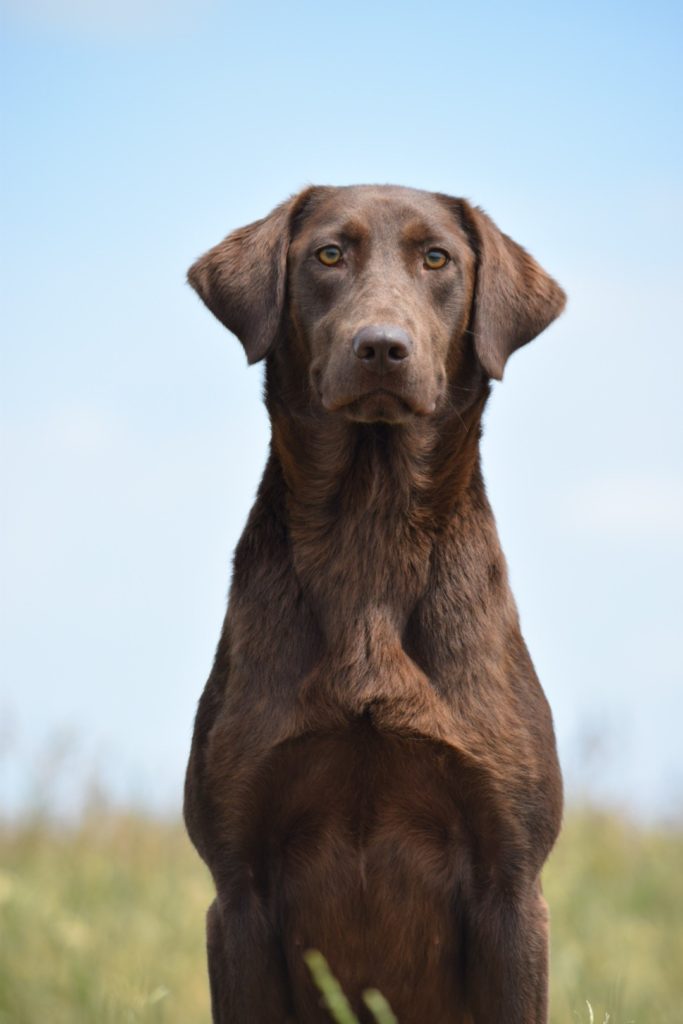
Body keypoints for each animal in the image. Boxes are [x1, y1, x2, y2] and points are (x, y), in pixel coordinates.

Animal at [184, 184, 565, 1023]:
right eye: (328, 254)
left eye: (438, 259)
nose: (382, 347)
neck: (371, 522)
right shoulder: (237, 887)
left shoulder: (512, 882)